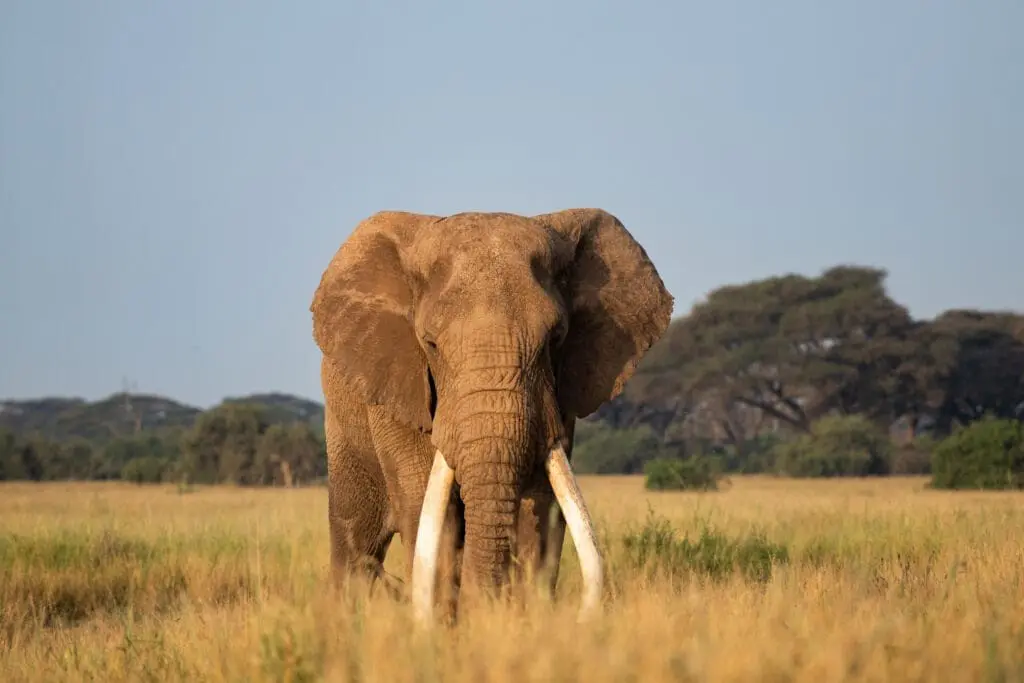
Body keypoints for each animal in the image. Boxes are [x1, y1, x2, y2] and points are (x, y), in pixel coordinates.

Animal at [309, 208, 673, 623]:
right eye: (430, 344)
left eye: (555, 339)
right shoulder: (398, 392)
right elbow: (431, 512)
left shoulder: (558, 400)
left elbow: (542, 509)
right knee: (354, 540)